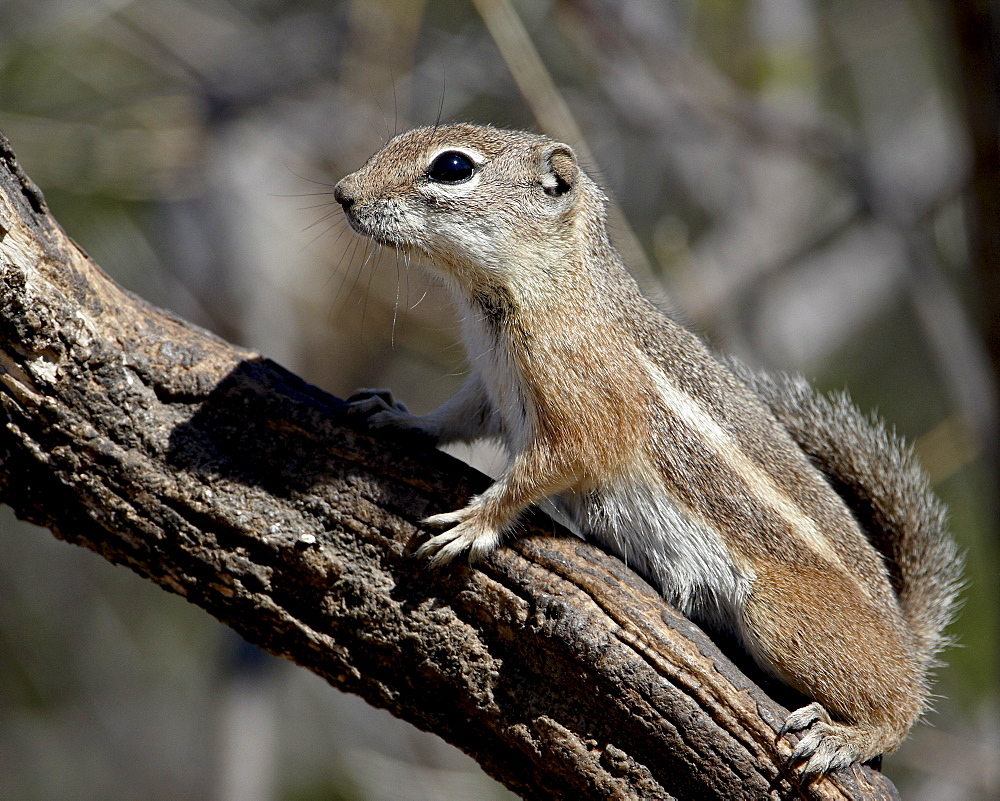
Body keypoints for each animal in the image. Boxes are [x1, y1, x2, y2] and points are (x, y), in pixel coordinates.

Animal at [334, 122, 960, 772]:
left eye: (453, 168)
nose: (342, 193)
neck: (537, 290)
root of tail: (905, 639)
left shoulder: (585, 405)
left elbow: (552, 464)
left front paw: (478, 521)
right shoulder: (489, 388)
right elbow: (453, 418)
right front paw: (399, 418)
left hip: (782, 617)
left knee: (902, 710)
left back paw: (848, 735)